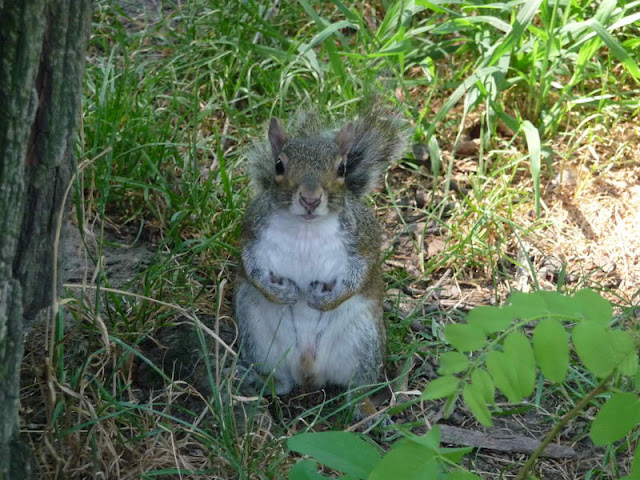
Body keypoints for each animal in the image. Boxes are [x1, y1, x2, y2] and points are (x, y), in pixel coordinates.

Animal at [232, 101, 408, 402]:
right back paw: (256, 380)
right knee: (281, 383)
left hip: (363, 338)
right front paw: (280, 293)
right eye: (279, 164)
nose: (310, 199)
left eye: (342, 169)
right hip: (256, 333)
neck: (306, 228)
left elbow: (360, 273)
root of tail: (309, 372)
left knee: (358, 390)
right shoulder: (251, 233)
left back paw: (366, 409)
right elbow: (250, 267)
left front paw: (324, 300)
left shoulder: (364, 241)